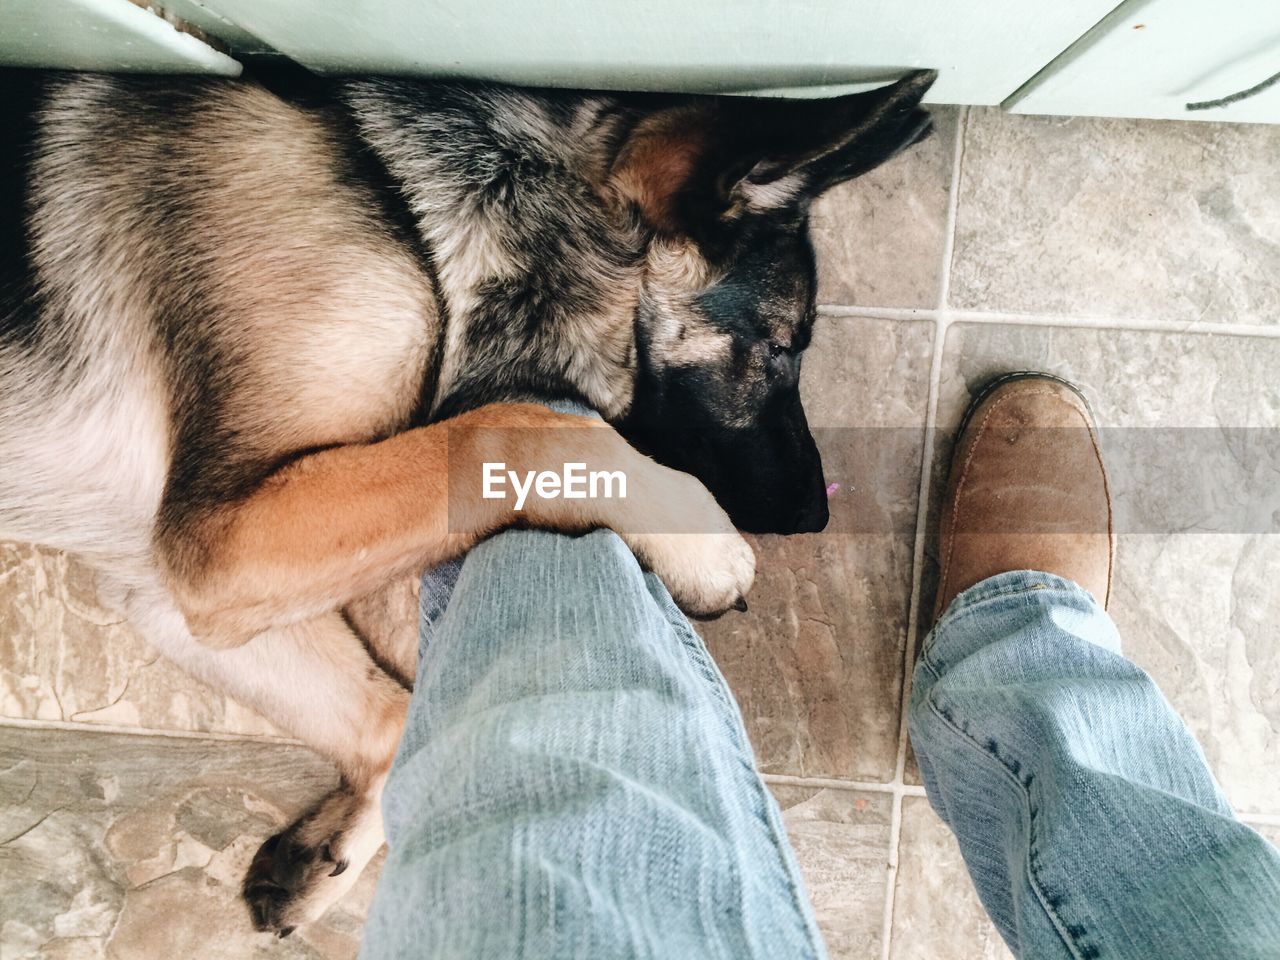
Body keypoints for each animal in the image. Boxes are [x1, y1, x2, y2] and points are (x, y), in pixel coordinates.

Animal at [2, 65, 942, 931]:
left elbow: (396, 717)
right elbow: (519, 423)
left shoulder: (173, 592)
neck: (417, 218)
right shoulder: (221, 540)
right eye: (781, 346)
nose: (817, 517)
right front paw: (697, 539)